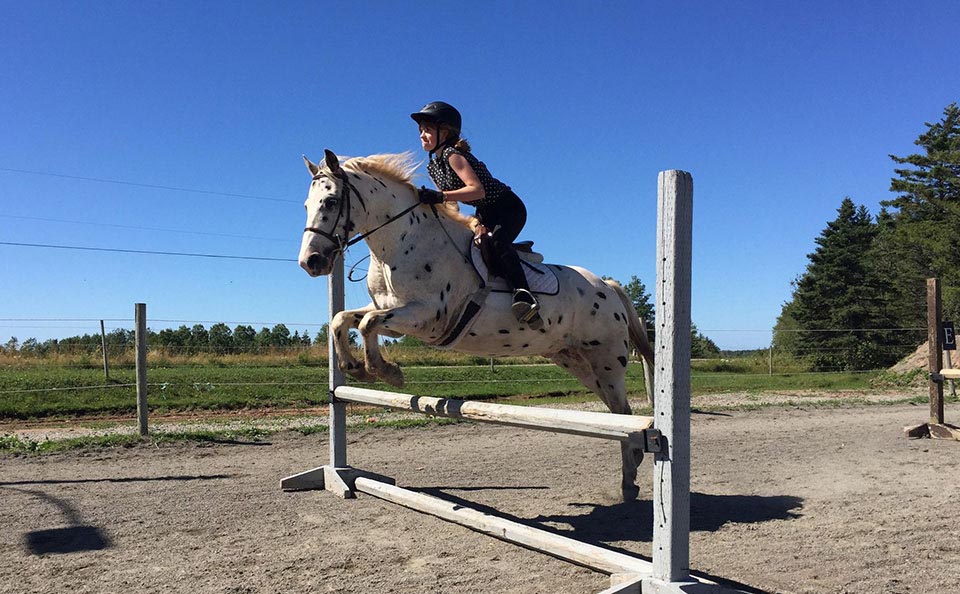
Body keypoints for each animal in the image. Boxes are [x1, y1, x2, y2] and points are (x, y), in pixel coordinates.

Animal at [300, 149, 656, 500]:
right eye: (306, 205)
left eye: (330, 201)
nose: (310, 262)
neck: (402, 242)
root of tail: (606, 285)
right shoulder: (396, 316)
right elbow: (344, 320)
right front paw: (354, 368)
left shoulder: (426, 317)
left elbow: (368, 324)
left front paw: (388, 373)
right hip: (576, 360)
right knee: (618, 413)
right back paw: (632, 468)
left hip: (606, 360)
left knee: (623, 412)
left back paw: (629, 479)